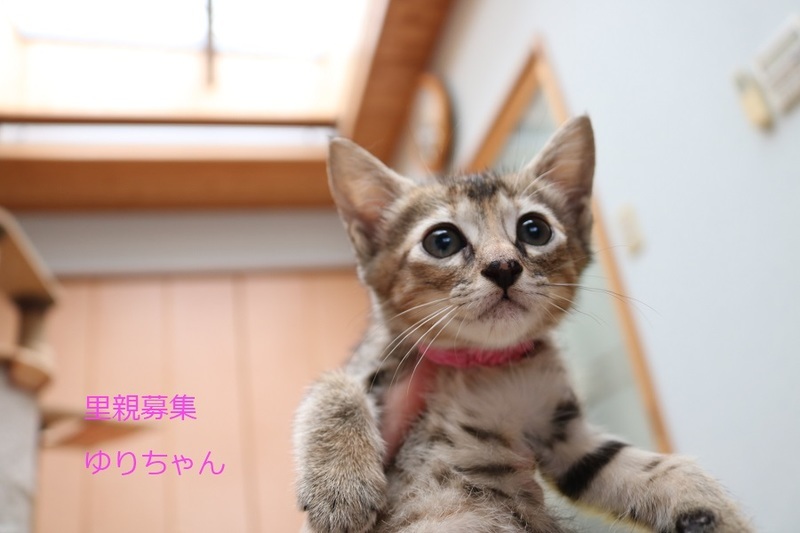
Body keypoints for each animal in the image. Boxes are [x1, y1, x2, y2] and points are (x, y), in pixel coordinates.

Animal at [293, 116, 754, 532]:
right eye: (442, 241)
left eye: (535, 230)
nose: (503, 266)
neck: (485, 365)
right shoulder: (371, 361)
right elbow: (332, 390)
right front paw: (340, 487)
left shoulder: (565, 434)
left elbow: (627, 462)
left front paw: (707, 503)